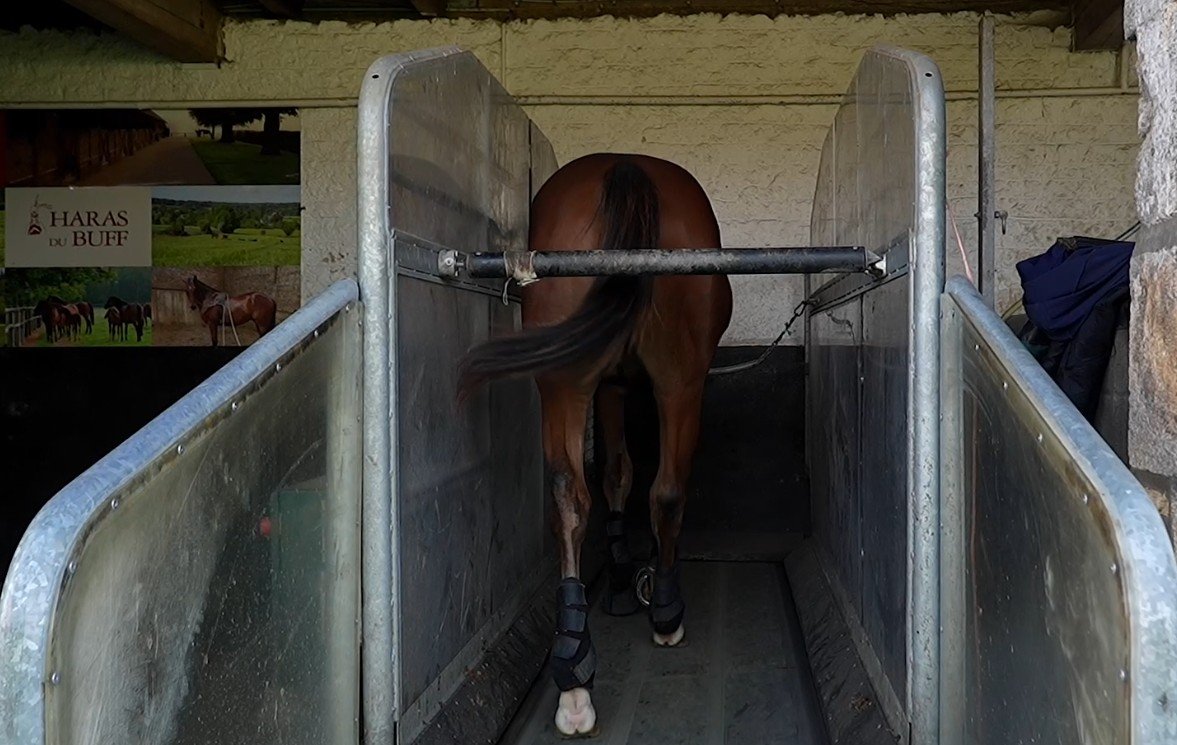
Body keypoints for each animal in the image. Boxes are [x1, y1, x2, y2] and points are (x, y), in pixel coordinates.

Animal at [457, 153, 733, 737]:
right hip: (679, 382)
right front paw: (633, 583)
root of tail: (627, 167)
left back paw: (574, 675)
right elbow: (628, 476)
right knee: (668, 490)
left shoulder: (606, 386)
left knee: (569, 497)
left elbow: (613, 474)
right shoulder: (623, 386)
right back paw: (665, 614)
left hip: (564, 379)